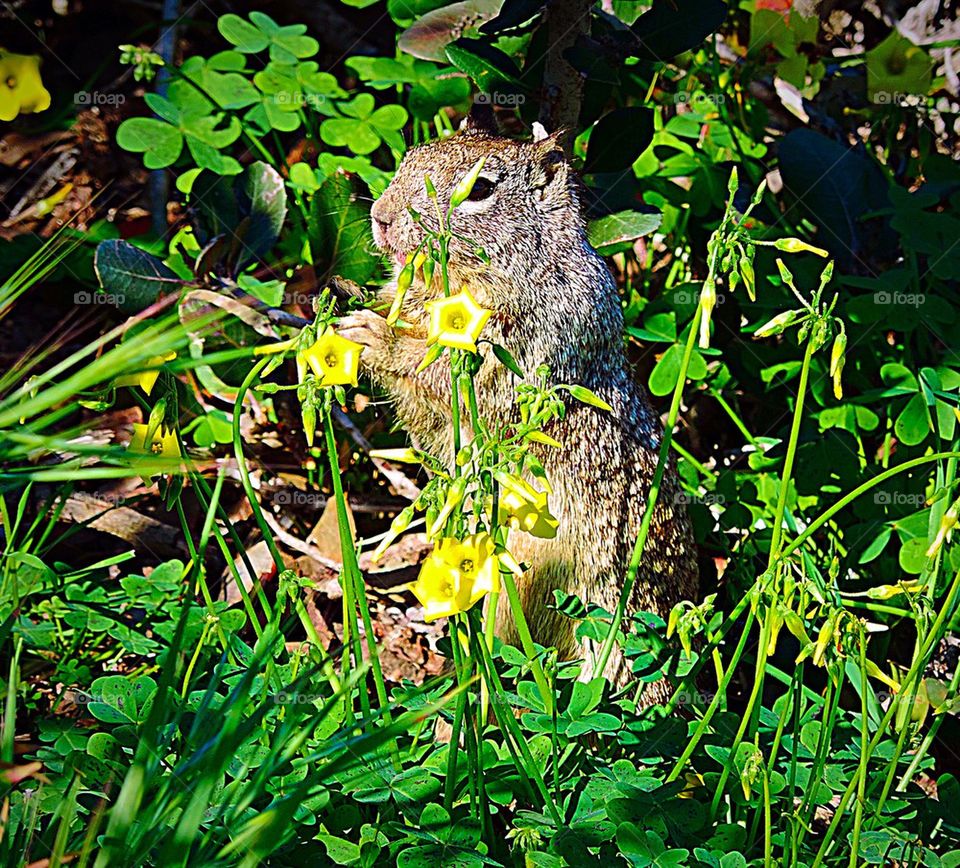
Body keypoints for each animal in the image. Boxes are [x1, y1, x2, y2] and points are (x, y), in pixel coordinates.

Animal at [337, 121, 698, 696]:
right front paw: (355, 301)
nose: (383, 216)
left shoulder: (513, 349)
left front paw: (375, 335)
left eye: (481, 189)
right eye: (412, 154)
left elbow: (440, 372)